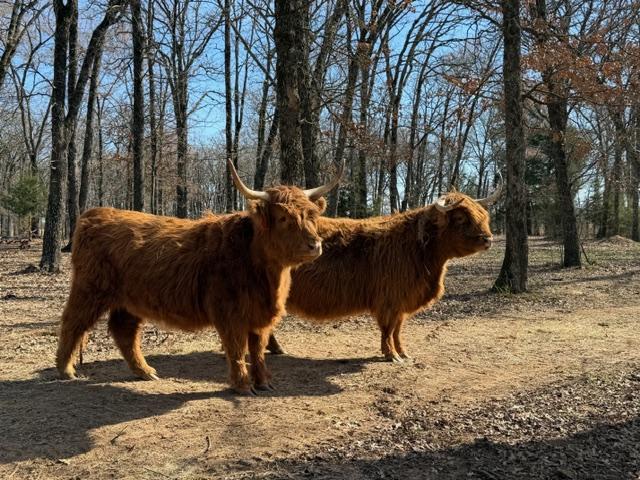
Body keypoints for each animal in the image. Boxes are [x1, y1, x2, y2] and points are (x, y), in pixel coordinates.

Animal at [56, 160, 342, 395]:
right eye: (283, 217)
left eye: (312, 215)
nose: (314, 245)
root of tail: (93, 214)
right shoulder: (229, 313)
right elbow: (237, 348)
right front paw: (243, 385)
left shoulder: (260, 316)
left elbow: (258, 349)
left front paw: (264, 383)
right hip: (90, 289)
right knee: (73, 322)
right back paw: (66, 370)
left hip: (129, 300)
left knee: (123, 331)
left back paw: (145, 371)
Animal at [266, 186, 501, 362]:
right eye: (461, 218)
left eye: (483, 216)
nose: (488, 239)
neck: (419, 249)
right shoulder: (389, 300)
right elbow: (388, 328)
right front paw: (391, 355)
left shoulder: (402, 302)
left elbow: (398, 329)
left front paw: (403, 353)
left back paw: (276, 348)